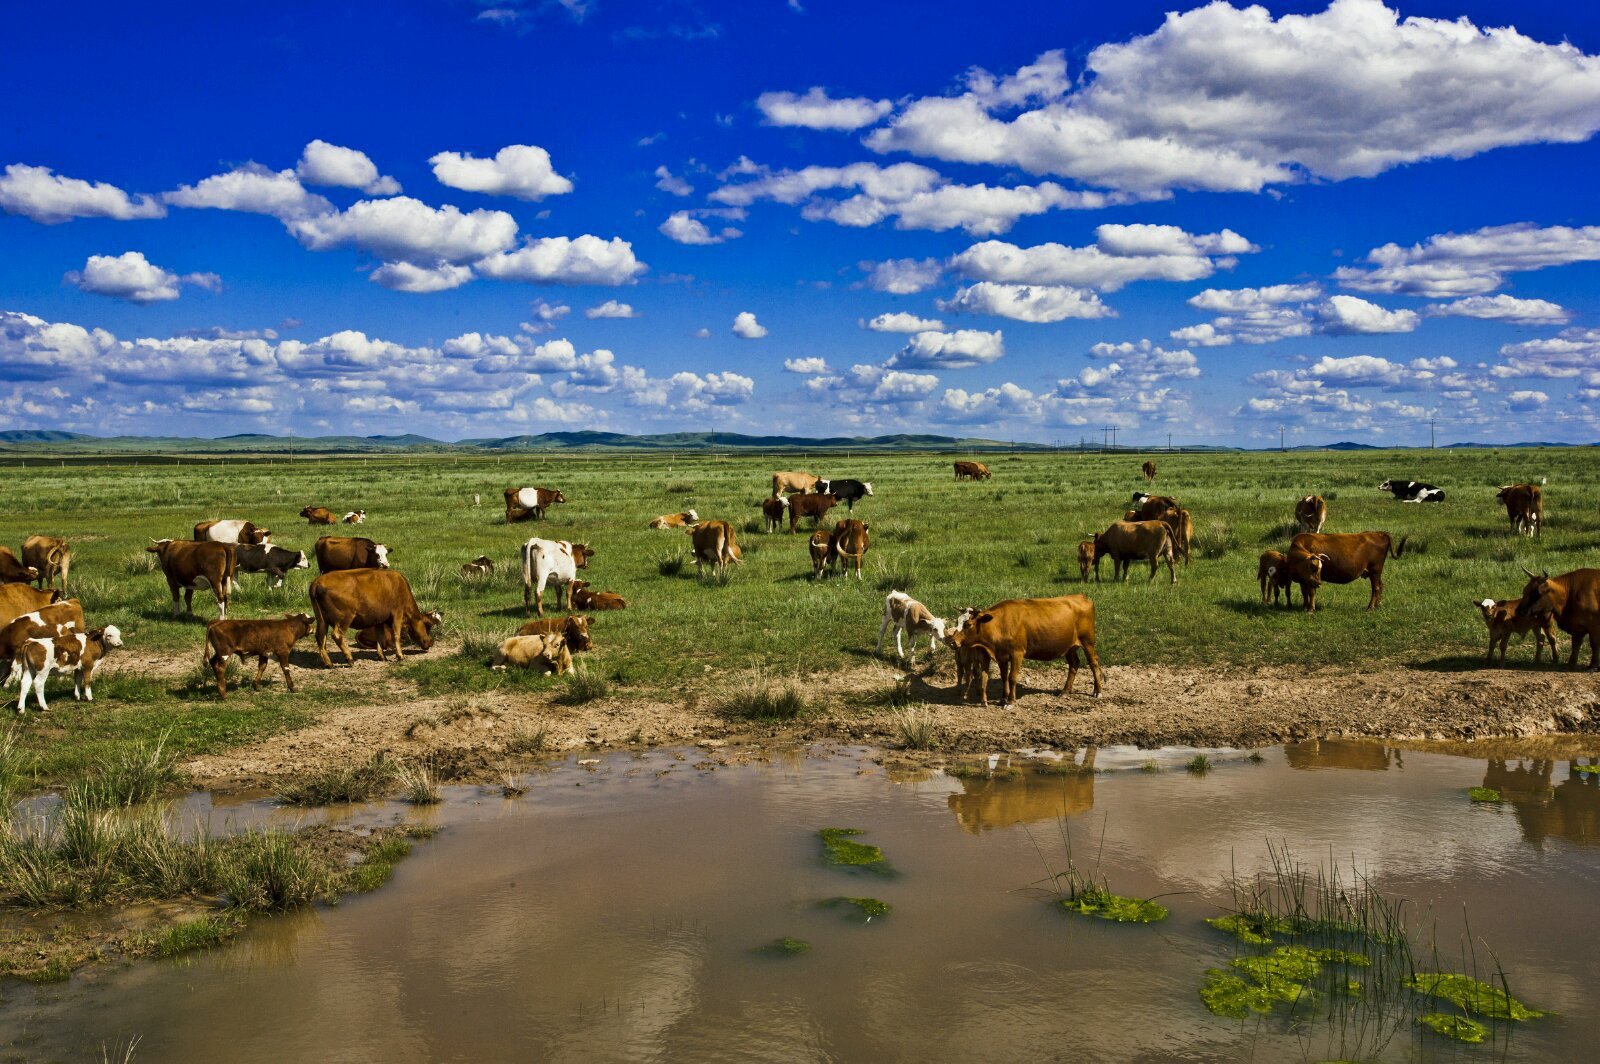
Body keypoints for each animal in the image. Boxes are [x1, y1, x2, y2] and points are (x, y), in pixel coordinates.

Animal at [307, 563, 441, 665]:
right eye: (427, 625)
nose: (430, 642)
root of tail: (317, 582)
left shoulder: (379, 620)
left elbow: (380, 637)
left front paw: (382, 656)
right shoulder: (397, 613)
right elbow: (396, 635)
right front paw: (400, 655)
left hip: (322, 620)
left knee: (320, 637)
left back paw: (328, 663)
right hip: (344, 619)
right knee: (337, 635)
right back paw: (349, 659)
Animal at [960, 592, 1100, 710]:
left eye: (968, 625)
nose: (955, 641)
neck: (1000, 623)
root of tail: (1080, 596)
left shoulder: (1017, 653)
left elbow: (1012, 677)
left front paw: (1010, 702)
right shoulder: (1001, 655)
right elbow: (1004, 676)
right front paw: (1003, 698)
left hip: (1087, 641)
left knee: (1093, 663)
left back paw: (1097, 691)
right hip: (1069, 647)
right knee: (1074, 664)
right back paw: (1065, 691)